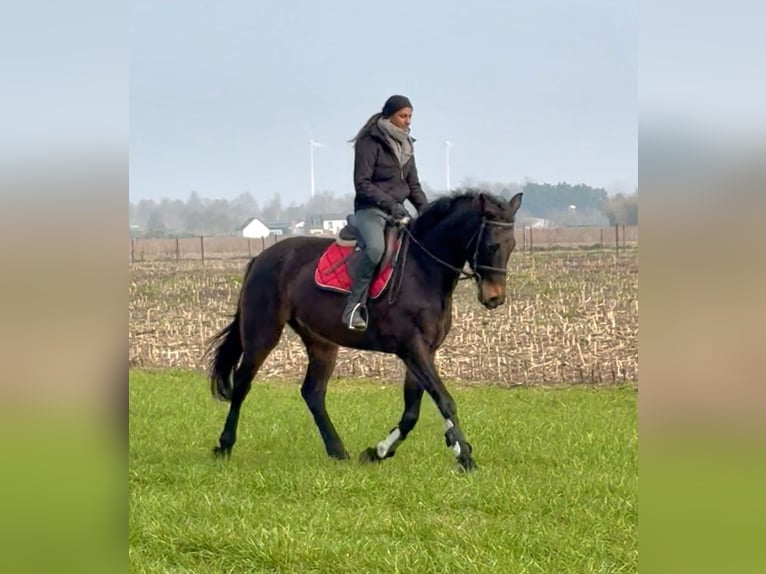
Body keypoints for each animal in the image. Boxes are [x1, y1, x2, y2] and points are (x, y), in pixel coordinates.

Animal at [205, 189, 523, 471]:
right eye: (492, 245)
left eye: (512, 245)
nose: (494, 298)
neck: (423, 269)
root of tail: (261, 258)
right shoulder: (412, 348)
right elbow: (444, 401)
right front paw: (464, 456)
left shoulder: (423, 352)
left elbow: (411, 412)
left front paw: (378, 451)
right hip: (263, 334)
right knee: (242, 384)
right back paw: (224, 445)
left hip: (321, 342)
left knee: (313, 392)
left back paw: (338, 451)